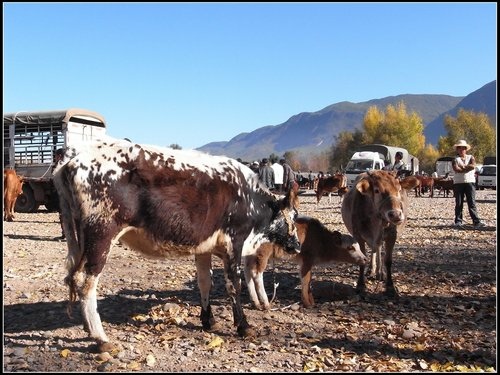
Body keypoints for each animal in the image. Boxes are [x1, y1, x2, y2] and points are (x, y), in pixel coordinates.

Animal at [52, 140, 300, 352]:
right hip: (101, 236)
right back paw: (100, 337)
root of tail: (75, 154)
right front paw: (243, 326)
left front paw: (208, 320)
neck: (249, 198)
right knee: (85, 282)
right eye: (294, 216)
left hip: (80, 239)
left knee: (74, 278)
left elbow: (205, 282)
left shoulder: (204, 247)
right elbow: (233, 285)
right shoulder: (234, 242)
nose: (297, 245)